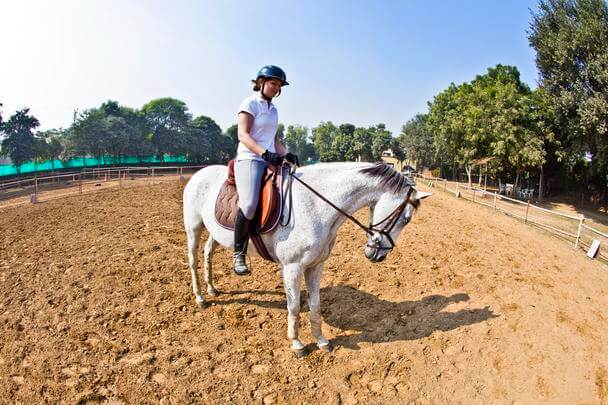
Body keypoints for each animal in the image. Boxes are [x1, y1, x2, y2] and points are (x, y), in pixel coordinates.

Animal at [183, 161, 430, 356]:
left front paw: (321, 341)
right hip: (194, 228)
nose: (378, 255)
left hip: (215, 233)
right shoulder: (292, 267)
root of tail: (199, 174)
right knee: (193, 260)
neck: (315, 206)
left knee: (208, 253)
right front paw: (297, 344)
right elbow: (293, 306)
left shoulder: (316, 266)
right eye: (406, 219)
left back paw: (212, 289)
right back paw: (200, 297)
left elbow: (315, 305)